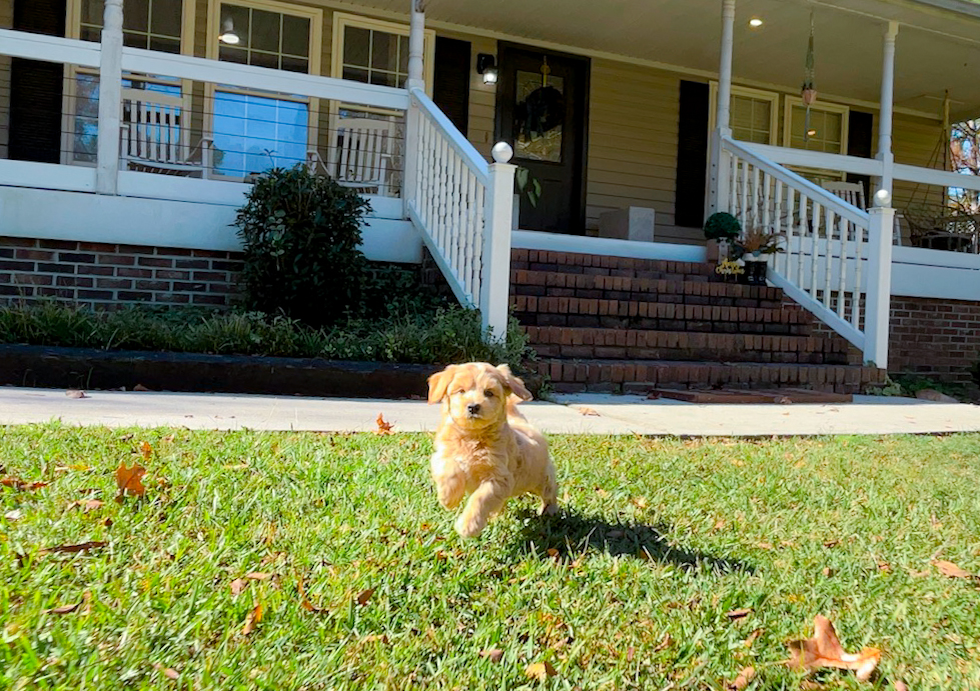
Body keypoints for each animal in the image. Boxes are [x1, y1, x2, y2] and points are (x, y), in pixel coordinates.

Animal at [424, 364, 556, 536]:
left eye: (489, 393)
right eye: (461, 391)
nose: (473, 407)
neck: (472, 436)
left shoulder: (498, 478)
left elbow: (481, 498)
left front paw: (468, 526)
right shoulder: (442, 455)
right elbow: (449, 469)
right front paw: (448, 497)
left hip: (540, 477)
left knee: (550, 492)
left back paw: (549, 512)